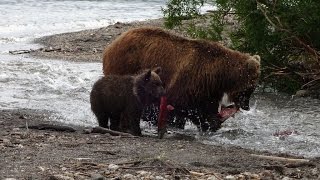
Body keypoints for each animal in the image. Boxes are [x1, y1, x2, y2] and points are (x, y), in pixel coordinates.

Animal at [102, 26, 260, 131]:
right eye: (250, 88)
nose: (246, 105)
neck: (220, 75)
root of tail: (111, 45)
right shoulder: (190, 81)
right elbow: (180, 106)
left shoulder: (208, 88)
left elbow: (205, 105)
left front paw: (211, 122)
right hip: (125, 65)